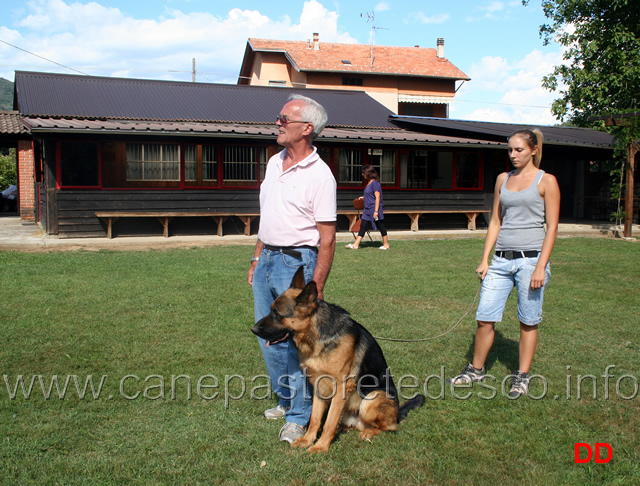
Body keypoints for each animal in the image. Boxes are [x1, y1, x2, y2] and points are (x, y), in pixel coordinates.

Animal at [251, 266, 424, 452]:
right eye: (271, 310)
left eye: (277, 314)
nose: (253, 329)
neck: (317, 337)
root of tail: (397, 413)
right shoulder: (318, 385)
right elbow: (316, 419)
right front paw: (308, 440)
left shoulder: (340, 387)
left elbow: (329, 422)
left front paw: (320, 447)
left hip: (372, 398)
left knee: (389, 427)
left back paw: (368, 432)